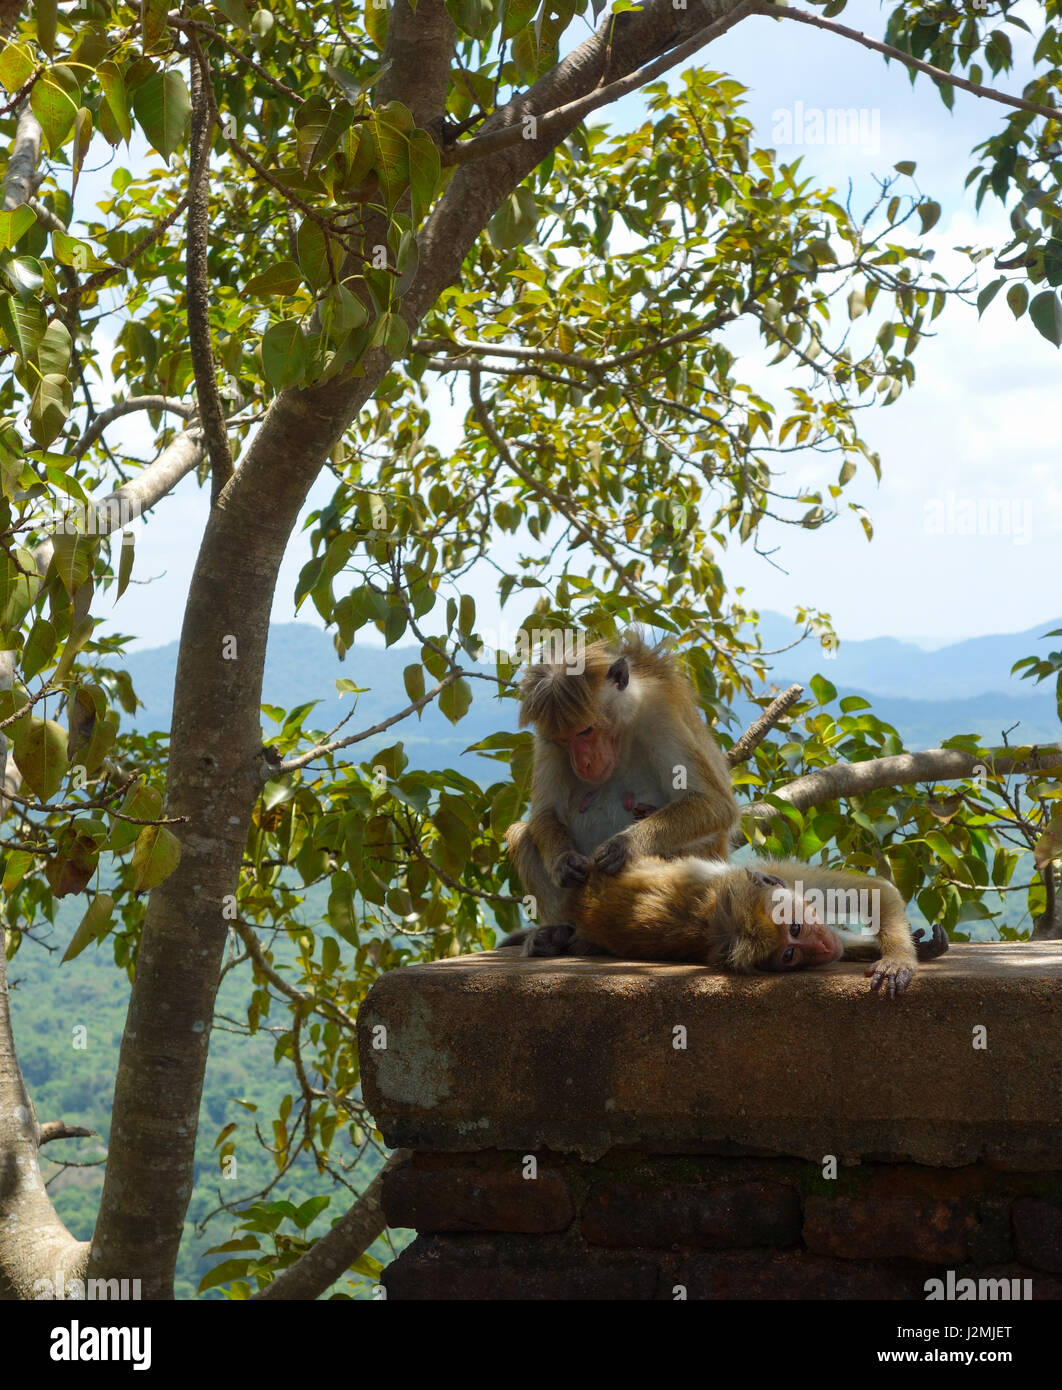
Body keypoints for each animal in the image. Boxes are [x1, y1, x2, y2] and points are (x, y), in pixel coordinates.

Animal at [503, 633, 739, 950]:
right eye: (564, 739)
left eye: (586, 731)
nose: (583, 764)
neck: (623, 726)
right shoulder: (545, 738)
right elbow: (546, 813)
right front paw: (564, 862)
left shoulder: (658, 713)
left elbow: (713, 803)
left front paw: (623, 845)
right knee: (525, 835)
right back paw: (560, 933)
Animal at [533, 850, 950, 995]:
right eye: (788, 956)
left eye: (795, 929)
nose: (820, 947)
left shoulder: (784, 876)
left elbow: (875, 892)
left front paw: (895, 959)